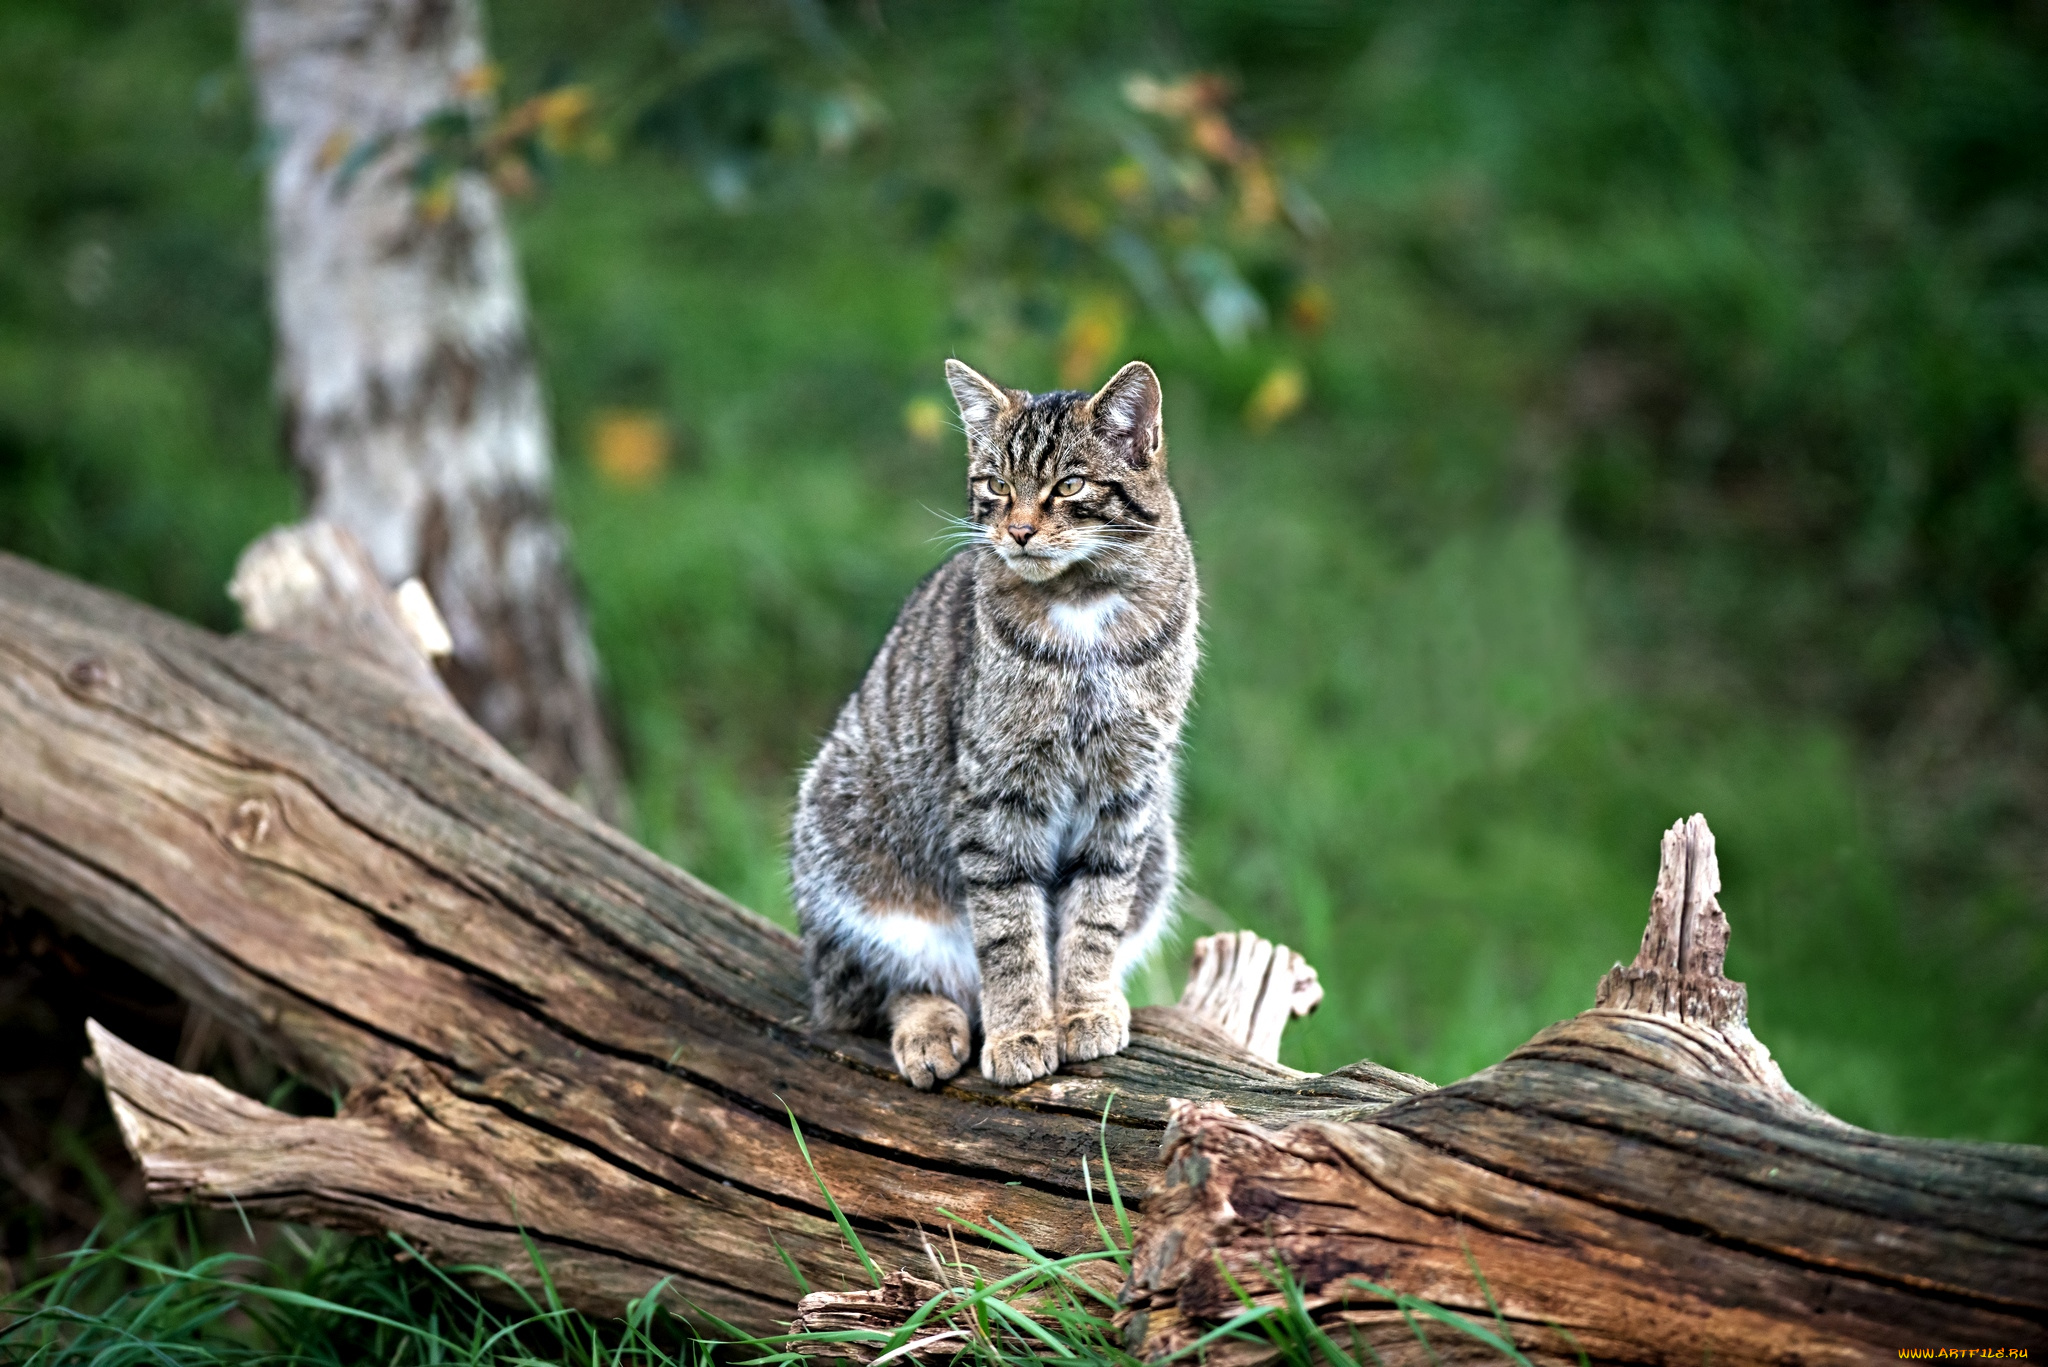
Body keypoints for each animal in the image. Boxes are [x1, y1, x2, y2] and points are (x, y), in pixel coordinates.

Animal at [786, 358, 1196, 1082]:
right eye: (997, 485)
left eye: (1070, 484)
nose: (1020, 530)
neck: (1082, 606)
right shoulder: (997, 794)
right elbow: (1009, 931)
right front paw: (1022, 1032)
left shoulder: (1126, 791)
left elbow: (1096, 916)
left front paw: (1084, 1009)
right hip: (845, 865)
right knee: (885, 987)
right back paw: (932, 1030)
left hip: (1158, 855)